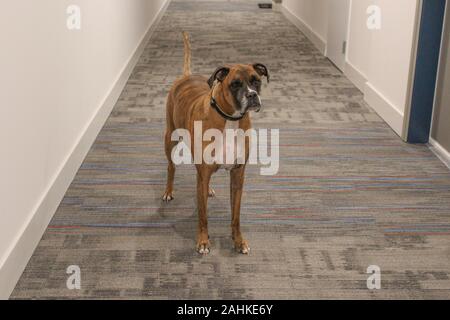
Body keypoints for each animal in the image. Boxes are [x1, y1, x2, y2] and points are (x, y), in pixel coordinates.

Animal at [162, 32, 268, 255]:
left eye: (256, 81)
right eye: (235, 84)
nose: (252, 95)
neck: (230, 118)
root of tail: (186, 75)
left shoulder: (238, 175)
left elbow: (235, 215)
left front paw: (238, 241)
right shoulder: (202, 175)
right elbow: (203, 216)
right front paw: (203, 241)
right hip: (170, 138)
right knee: (171, 166)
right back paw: (168, 191)